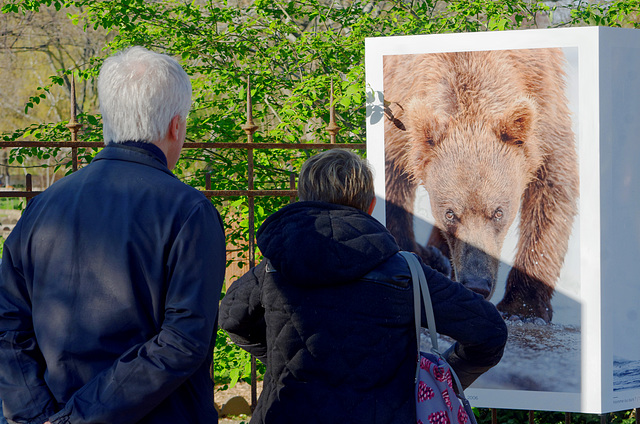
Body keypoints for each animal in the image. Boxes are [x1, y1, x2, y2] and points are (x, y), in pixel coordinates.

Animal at [382, 48, 584, 322]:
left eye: (498, 212)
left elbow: (553, 187)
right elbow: (393, 183)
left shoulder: (543, 101)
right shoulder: (399, 104)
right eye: (450, 213)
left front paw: (523, 306)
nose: (477, 284)